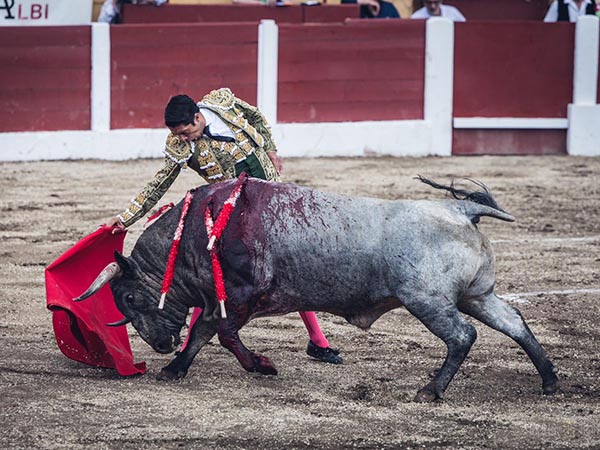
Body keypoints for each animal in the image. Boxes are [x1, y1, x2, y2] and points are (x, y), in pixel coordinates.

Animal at [75, 176, 556, 400]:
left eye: (130, 297)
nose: (158, 344)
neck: (199, 230)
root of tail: (460, 209)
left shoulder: (242, 295)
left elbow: (223, 335)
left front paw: (262, 366)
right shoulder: (221, 301)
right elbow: (201, 333)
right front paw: (175, 368)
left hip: (428, 301)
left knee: (462, 335)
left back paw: (431, 391)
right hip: (477, 296)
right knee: (514, 322)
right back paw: (550, 381)